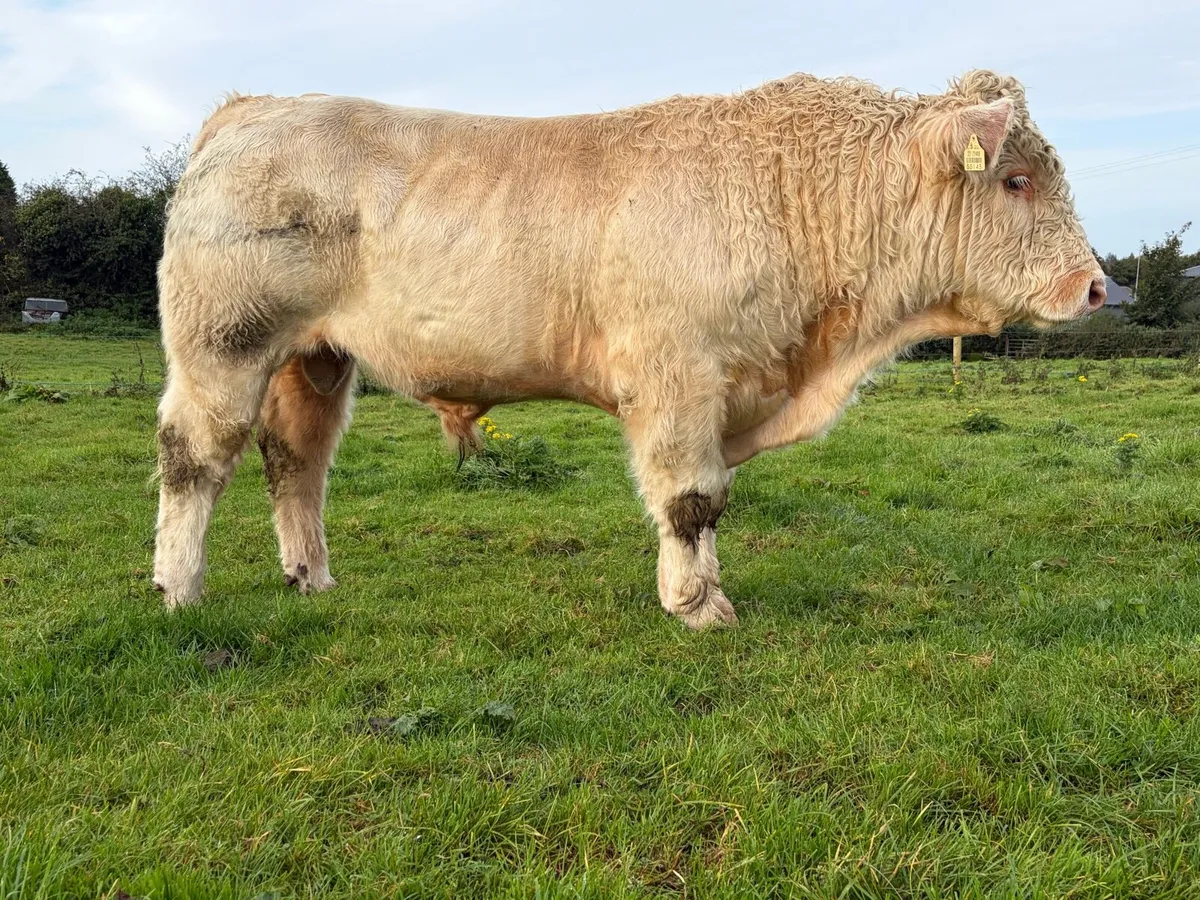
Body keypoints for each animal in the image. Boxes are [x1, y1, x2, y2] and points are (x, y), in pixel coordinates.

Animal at [152, 69, 1105, 628]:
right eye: (1017, 179)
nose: (1097, 286)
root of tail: (253, 109)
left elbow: (712, 501)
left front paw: (706, 588)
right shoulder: (677, 378)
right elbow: (689, 498)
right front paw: (695, 605)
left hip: (312, 358)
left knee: (296, 461)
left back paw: (309, 577)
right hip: (222, 342)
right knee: (194, 458)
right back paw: (177, 588)